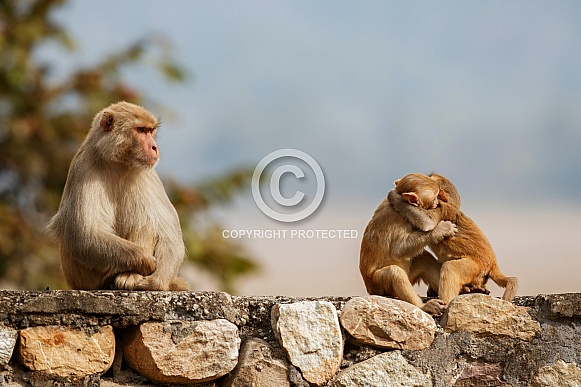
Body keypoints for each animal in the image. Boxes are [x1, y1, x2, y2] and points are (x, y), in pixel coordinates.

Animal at [48, 102, 188, 292]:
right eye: (141, 130)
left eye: (150, 131)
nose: (154, 147)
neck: (119, 164)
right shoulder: (83, 168)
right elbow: (83, 234)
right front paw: (146, 261)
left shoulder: (150, 175)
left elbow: (169, 234)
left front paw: (156, 281)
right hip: (84, 277)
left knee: (145, 222)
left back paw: (129, 276)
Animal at [358, 174, 458, 316]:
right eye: (435, 197)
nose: (436, 203)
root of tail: (370, 289)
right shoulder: (400, 220)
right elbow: (397, 250)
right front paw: (441, 230)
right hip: (378, 285)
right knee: (394, 272)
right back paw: (423, 306)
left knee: (424, 259)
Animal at [390, 174, 516, 304]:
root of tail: (493, 265)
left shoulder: (441, 210)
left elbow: (427, 221)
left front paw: (394, 197)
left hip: (476, 267)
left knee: (450, 268)